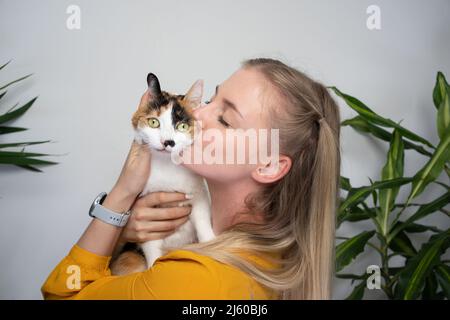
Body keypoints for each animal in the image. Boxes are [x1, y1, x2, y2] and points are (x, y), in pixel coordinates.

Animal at [109, 72, 214, 276]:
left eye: (182, 126)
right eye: (153, 122)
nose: (168, 142)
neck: (168, 169)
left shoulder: (199, 196)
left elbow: (204, 224)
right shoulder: (147, 216)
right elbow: (152, 249)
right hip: (129, 258)